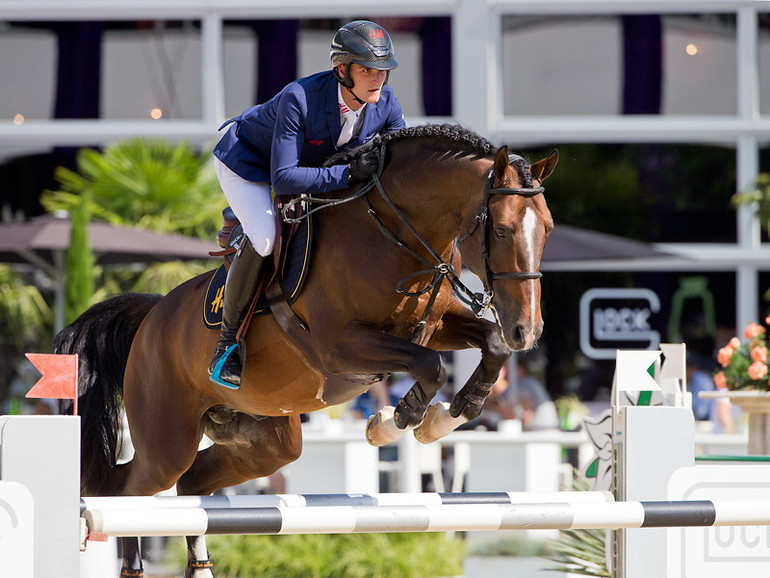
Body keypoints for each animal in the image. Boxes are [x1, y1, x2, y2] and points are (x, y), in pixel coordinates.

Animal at [57, 124, 556, 572]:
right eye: (503, 230)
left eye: (548, 229)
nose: (528, 330)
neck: (395, 235)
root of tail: (152, 317)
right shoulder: (341, 346)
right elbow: (430, 366)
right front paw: (395, 422)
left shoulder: (434, 324)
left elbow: (490, 345)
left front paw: (449, 415)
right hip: (167, 440)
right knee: (127, 491)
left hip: (265, 439)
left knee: (194, 485)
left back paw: (200, 566)